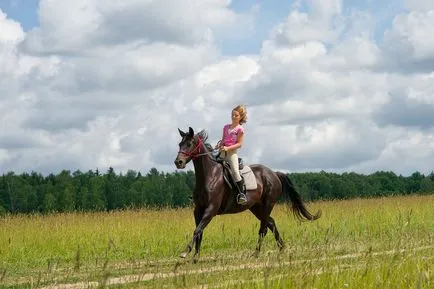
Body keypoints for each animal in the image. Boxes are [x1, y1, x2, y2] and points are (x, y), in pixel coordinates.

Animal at [175, 127, 320, 258]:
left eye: (189, 144)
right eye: (180, 144)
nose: (178, 162)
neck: (210, 175)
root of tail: (274, 174)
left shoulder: (211, 209)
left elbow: (197, 230)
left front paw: (185, 252)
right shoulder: (198, 210)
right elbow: (199, 232)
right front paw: (196, 256)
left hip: (268, 203)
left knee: (264, 228)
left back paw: (256, 253)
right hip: (256, 207)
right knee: (271, 223)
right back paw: (281, 247)